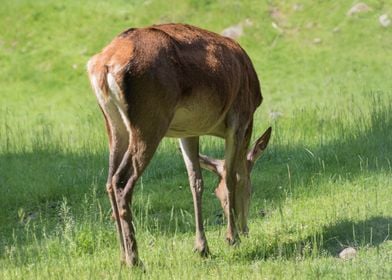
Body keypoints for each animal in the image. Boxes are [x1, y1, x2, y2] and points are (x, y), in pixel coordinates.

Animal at [86, 24, 272, 266]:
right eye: (250, 189)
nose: (245, 229)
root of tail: (103, 65)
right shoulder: (238, 119)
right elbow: (231, 176)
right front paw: (232, 238)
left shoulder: (188, 131)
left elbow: (196, 181)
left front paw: (202, 247)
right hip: (149, 122)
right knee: (121, 179)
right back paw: (135, 260)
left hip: (113, 125)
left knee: (109, 180)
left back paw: (122, 256)